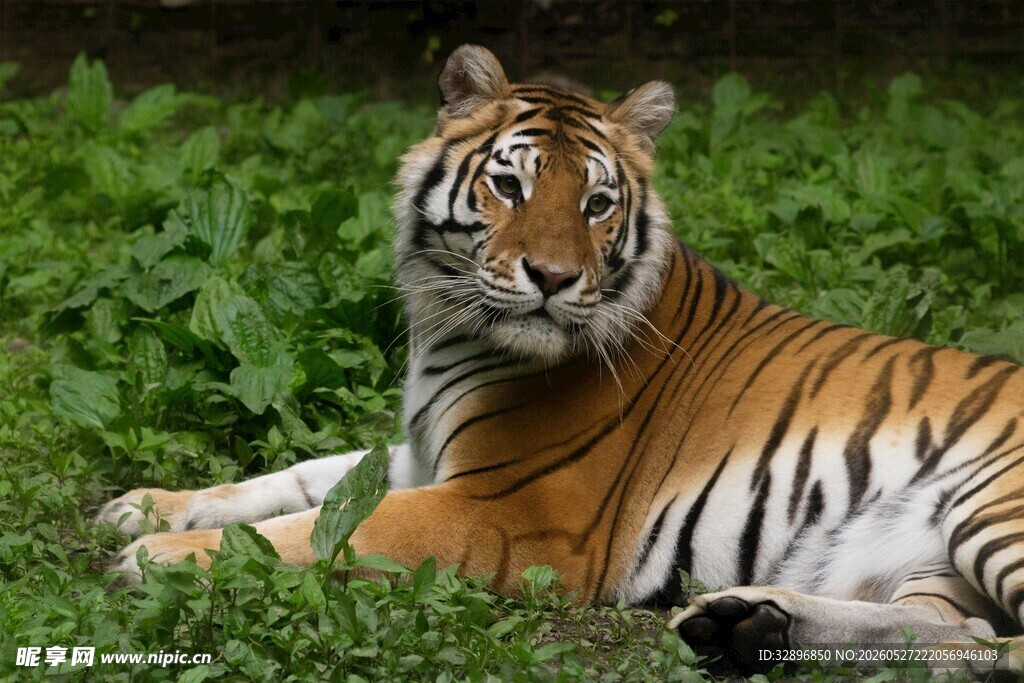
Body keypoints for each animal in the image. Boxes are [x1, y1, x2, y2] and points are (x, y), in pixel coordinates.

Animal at [97, 45, 1024, 672]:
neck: (452, 326)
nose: (551, 276)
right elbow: (298, 479)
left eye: (598, 203)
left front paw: (158, 558)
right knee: (968, 630)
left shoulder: (504, 506)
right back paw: (744, 624)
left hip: (993, 508)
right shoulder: (423, 454)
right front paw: (143, 508)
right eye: (509, 186)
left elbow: (327, 526)